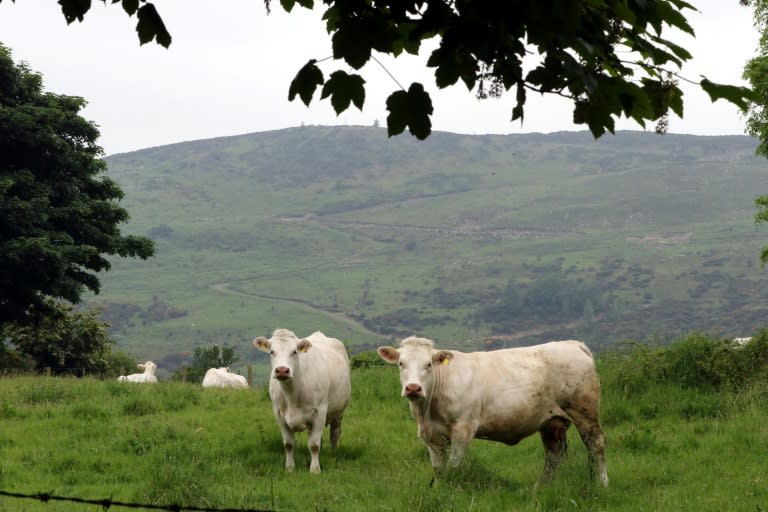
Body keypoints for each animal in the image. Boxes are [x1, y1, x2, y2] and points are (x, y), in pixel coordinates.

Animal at [254, 330, 352, 474]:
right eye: (272, 351)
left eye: (294, 351)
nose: (282, 370)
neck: (292, 394)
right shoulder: (278, 413)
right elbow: (289, 444)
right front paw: (289, 468)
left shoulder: (320, 411)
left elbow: (314, 445)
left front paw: (315, 470)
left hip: (339, 412)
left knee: (335, 433)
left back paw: (333, 454)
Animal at [376, 334, 608, 486]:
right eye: (401, 363)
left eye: (428, 364)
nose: (413, 388)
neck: (427, 412)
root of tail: (572, 344)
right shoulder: (430, 436)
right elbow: (438, 469)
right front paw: (439, 489)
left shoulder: (463, 429)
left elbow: (454, 466)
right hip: (551, 423)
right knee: (554, 455)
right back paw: (540, 488)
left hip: (585, 413)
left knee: (596, 446)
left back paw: (602, 484)